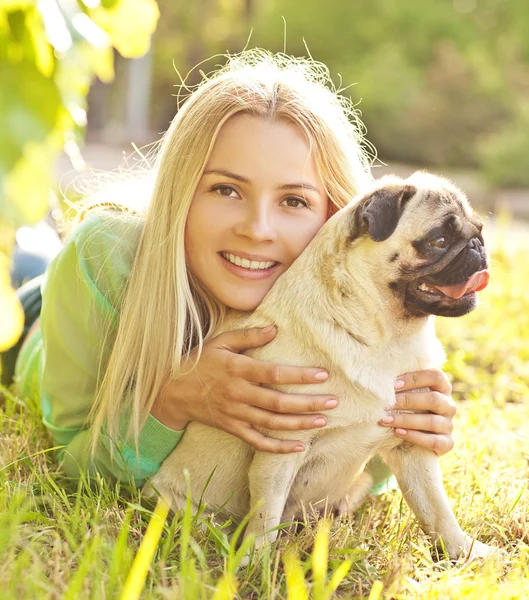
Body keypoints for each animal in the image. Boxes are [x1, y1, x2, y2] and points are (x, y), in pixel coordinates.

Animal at [151, 171, 492, 560]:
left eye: (479, 229)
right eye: (438, 240)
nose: (477, 246)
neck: (386, 338)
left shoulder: (411, 444)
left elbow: (435, 508)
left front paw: (463, 550)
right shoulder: (283, 446)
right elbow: (266, 513)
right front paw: (256, 561)